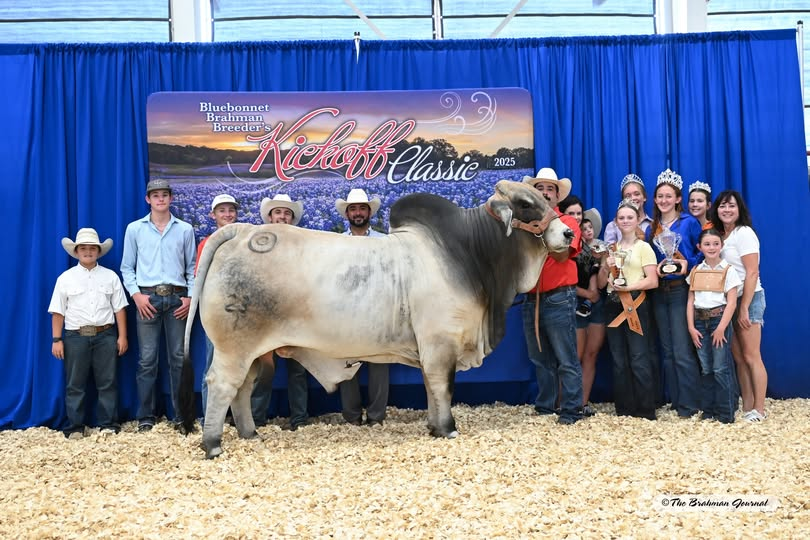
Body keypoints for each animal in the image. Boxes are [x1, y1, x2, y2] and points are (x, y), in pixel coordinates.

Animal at [179, 180, 573, 458]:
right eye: (525, 204)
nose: (569, 233)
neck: (471, 254)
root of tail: (243, 232)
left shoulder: (431, 348)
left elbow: (430, 388)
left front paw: (433, 426)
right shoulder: (440, 342)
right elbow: (442, 386)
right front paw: (447, 428)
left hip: (257, 353)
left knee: (243, 388)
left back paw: (250, 433)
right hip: (234, 347)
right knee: (221, 384)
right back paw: (213, 444)